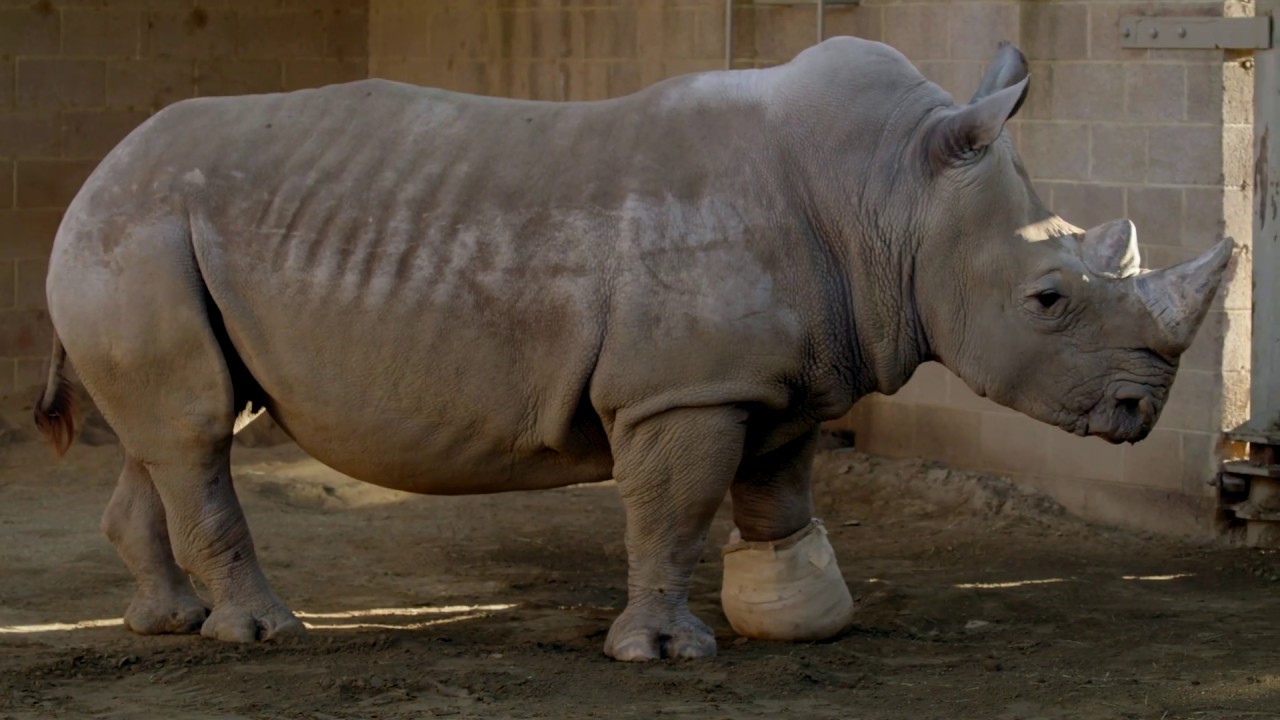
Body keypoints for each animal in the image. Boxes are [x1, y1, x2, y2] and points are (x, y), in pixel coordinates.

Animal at [34, 37, 1231, 662]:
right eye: (1047, 299)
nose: (1139, 414)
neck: (891, 192)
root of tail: (88, 176)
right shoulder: (682, 388)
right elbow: (676, 507)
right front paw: (663, 653)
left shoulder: (781, 373)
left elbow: (776, 490)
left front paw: (800, 621)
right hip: (135, 229)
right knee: (195, 432)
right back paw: (260, 635)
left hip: (149, 235)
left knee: (173, 431)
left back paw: (170, 622)